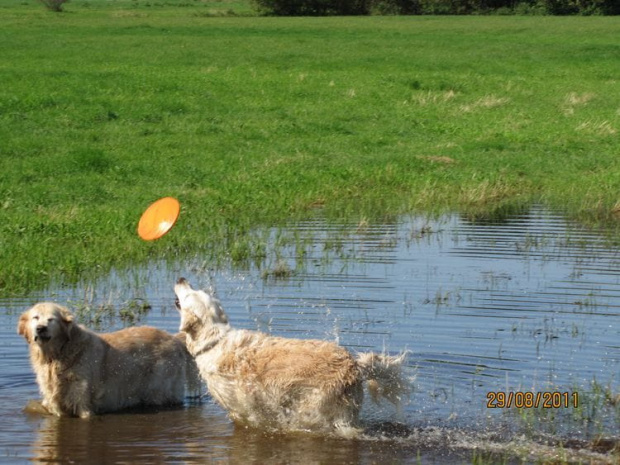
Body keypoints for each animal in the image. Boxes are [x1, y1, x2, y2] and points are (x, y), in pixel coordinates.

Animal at [18, 300, 199, 416]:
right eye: (35, 317)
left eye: (51, 319)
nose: (41, 328)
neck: (58, 354)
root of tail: (173, 338)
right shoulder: (55, 400)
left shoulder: (82, 398)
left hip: (159, 390)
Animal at [173, 278, 406, 434]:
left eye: (190, 293)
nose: (181, 279)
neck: (214, 340)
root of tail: (355, 364)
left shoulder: (241, 408)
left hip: (319, 411)